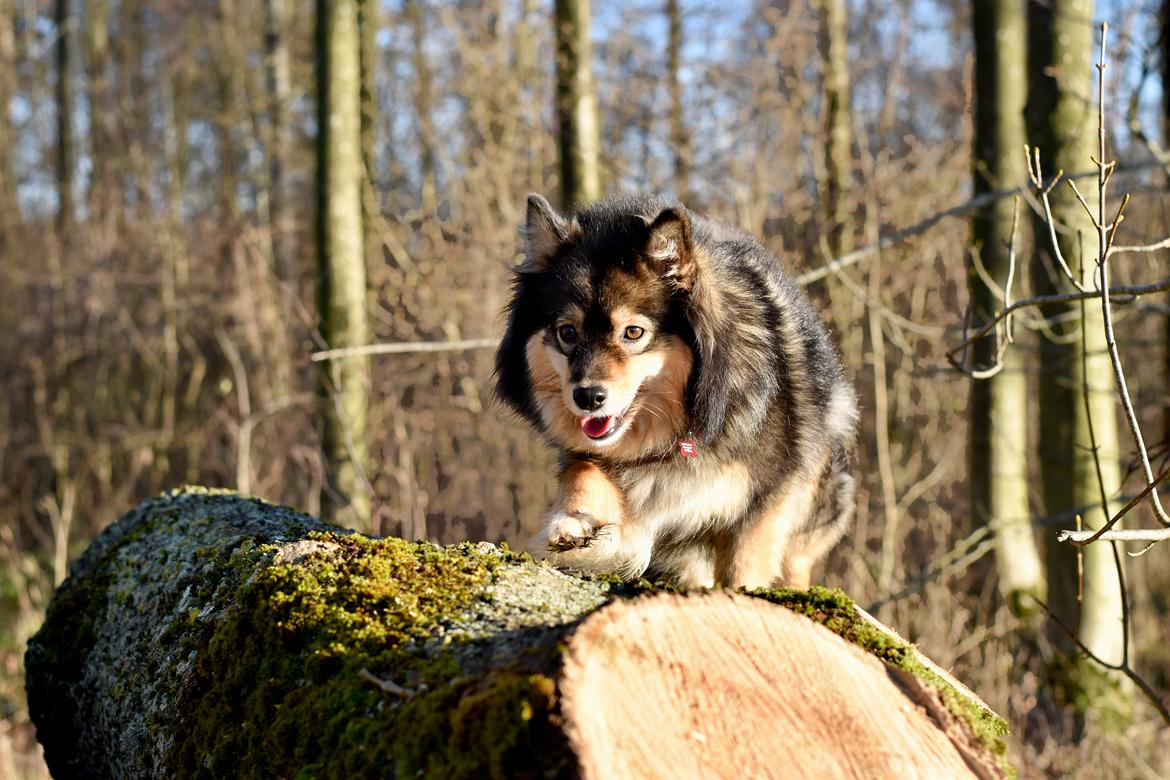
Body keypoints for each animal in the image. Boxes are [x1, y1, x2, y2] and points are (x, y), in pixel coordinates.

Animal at [493, 191, 861, 589]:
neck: (681, 427)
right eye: (567, 332)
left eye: (633, 332)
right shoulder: (596, 460)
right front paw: (572, 522)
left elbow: (745, 565)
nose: (587, 398)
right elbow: (584, 471)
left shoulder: (765, 499)